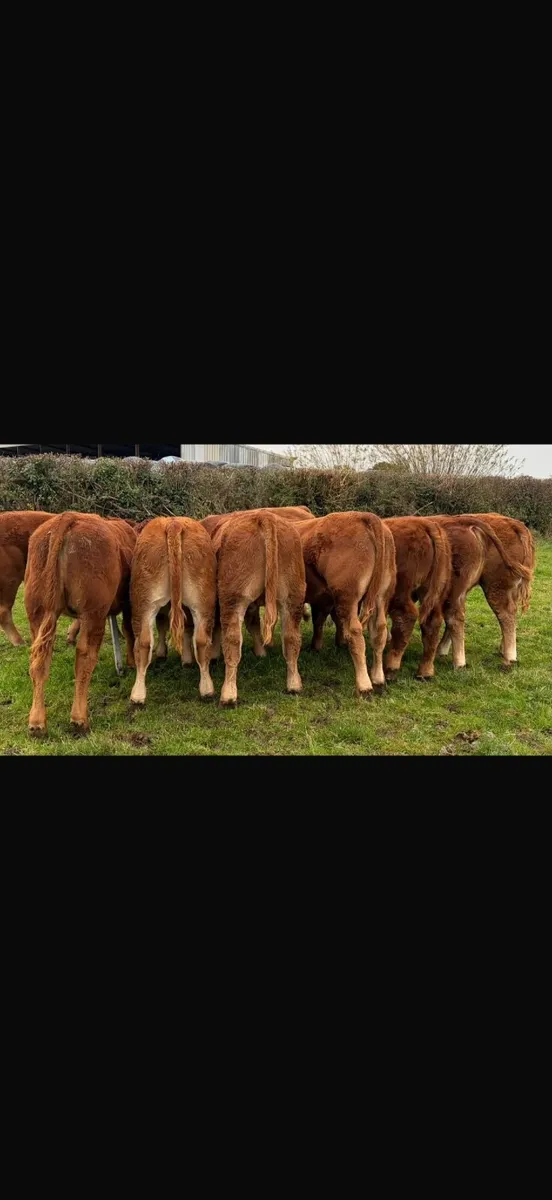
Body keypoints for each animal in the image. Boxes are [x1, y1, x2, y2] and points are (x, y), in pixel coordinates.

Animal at [25, 513, 137, 736]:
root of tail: (67, 518)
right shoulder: (128, 603)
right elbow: (128, 630)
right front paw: (130, 662)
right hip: (93, 612)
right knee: (84, 656)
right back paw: (79, 719)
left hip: (37, 613)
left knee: (39, 660)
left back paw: (37, 722)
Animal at [130, 517, 217, 707]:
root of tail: (173, 523)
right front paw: (186, 659)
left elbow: (163, 625)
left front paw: (163, 653)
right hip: (202, 599)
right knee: (201, 640)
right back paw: (207, 689)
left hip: (143, 601)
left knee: (143, 643)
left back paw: (137, 696)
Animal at [211, 511, 306, 706]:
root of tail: (264, 516)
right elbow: (254, 624)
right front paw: (261, 651)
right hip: (293, 596)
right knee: (292, 638)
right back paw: (294, 685)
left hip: (232, 598)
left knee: (232, 641)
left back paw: (228, 694)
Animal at [299, 512, 396, 696]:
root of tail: (364, 516)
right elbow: (319, 620)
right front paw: (316, 646)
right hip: (381, 595)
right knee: (379, 631)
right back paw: (378, 678)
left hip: (347, 596)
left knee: (355, 633)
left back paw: (364, 685)